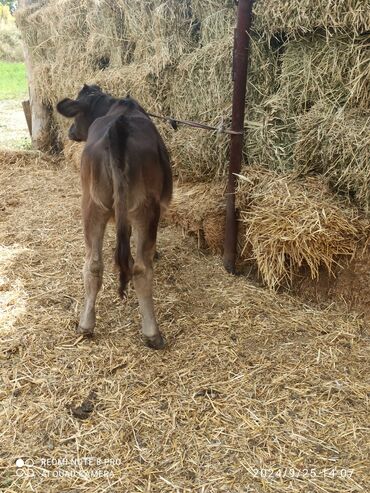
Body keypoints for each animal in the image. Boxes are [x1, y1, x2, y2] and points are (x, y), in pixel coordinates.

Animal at [57, 84, 173, 348]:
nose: (70, 131)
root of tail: (119, 127)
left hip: (92, 205)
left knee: (93, 264)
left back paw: (86, 324)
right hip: (145, 209)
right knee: (141, 268)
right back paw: (152, 333)